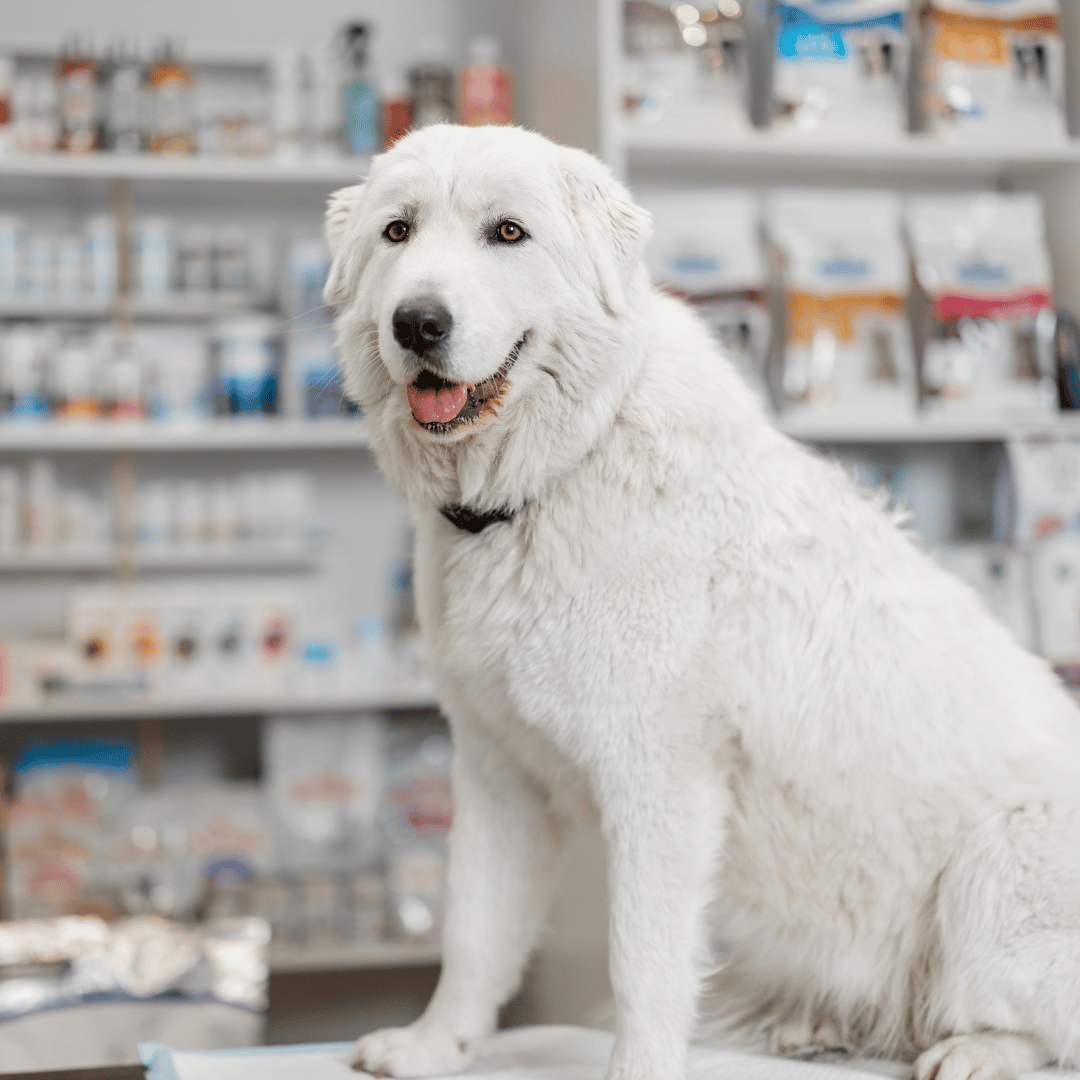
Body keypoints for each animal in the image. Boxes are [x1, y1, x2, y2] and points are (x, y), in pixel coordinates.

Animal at [324, 126, 1080, 1080]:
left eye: (507, 233)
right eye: (399, 231)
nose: (418, 323)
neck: (559, 473)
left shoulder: (658, 784)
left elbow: (639, 961)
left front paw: (638, 1068)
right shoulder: (498, 774)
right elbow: (474, 931)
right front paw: (434, 1044)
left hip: (996, 865)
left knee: (1039, 1023)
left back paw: (976, 1050)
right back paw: (813, 1025)